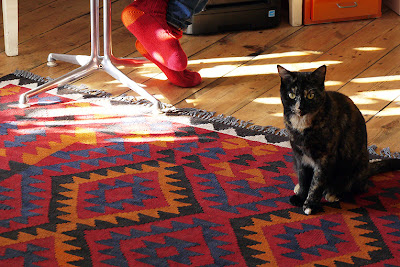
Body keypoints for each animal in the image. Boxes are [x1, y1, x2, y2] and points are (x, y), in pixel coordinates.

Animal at [276, 65, 400, 216]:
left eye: (310, 95)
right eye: (291, 95)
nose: (300, 107)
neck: (301, 126)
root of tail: (367, 168)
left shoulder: (325, 157)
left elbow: (316, 183)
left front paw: (310, 204)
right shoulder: (299, 155)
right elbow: (303, 177)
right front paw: (300, 196)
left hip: (354, 163)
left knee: (356, 187)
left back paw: (334, 193)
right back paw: (298, 187)